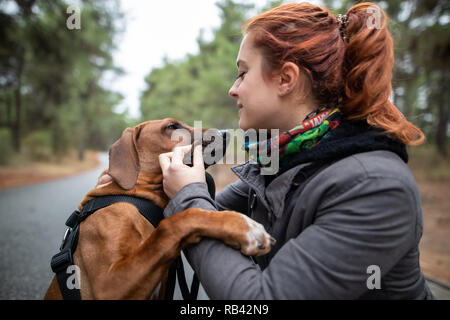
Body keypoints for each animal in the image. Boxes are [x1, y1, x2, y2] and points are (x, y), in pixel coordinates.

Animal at [44, 117, 274, 300]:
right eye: (172, 126)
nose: (224, 133)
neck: (136, 197)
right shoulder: (108, 286)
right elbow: (176, 221)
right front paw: (242, 227)